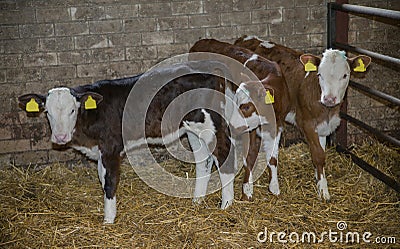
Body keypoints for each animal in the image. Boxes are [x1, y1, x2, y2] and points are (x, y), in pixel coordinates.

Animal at [18, 63, 238, 223]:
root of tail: (210, 69)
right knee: (203, 161)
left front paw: (108, 220)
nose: (60, 137)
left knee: (224, 154)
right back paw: (197, 200)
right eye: (48, 112)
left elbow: (109, 182)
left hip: (210, 123)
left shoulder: (111, 148)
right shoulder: (100, 152)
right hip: (192, 127)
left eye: (73, 110)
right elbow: (102, 178)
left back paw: (226, 204)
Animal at [189, 39, 290, 200]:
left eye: (247, 107)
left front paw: (274, 187)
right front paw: (246, 192)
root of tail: (201, 42)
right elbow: (250, 156)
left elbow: (273, 157)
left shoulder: (276, 126)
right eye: (236, 101)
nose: (230, 126)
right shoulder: (249, 130)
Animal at [234, 35, 372, 199]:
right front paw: (323, 190)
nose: (329, 99)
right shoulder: (307, 123)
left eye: (345, 75)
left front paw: (318, 178)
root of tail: (245, 38)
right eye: (320, 74)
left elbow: (321, 151)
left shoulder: (324, 126)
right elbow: (319, 155)